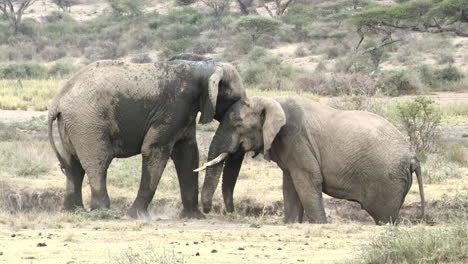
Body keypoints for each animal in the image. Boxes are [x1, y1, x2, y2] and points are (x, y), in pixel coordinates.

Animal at [47, 54, 245, 219]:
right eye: (235, 100)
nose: (211, 211)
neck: (205, 66)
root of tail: (58, 100)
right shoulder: (175, 107)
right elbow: (154, 149)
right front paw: (135, 215)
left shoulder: (186, 111)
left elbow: (187, 153)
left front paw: (194, 217)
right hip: (87, 121)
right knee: (99, 161)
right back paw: (103, 211)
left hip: (72, 123)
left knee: (73, 164)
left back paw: (73, 211)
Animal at [199, 96, 426, 224]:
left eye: (238, 125)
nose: (229, 212)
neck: (272, 100)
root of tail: (413, 157)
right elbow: (290, 185)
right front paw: (292, 224)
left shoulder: (296, 139)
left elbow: (308, 181)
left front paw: (320, 224)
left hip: (387, 180)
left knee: (384, 217)